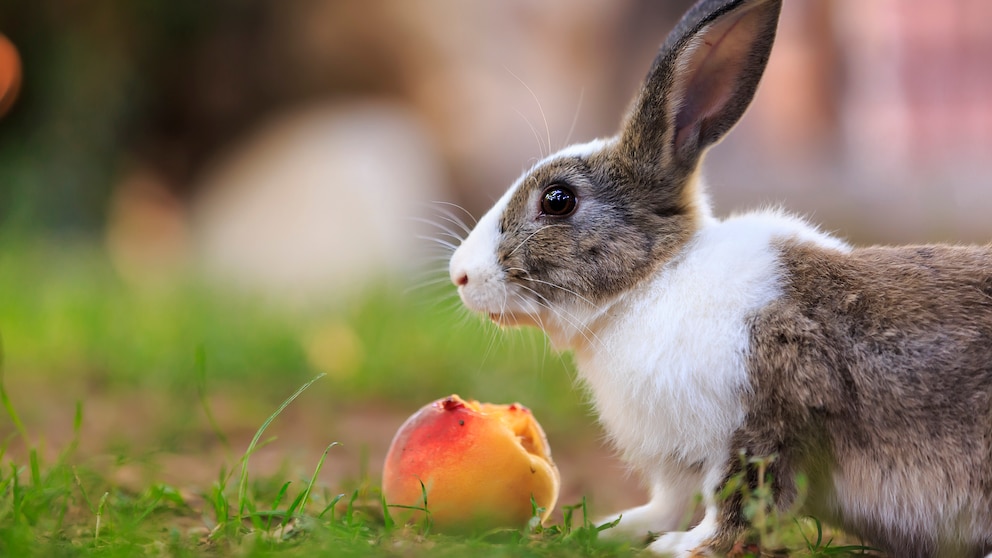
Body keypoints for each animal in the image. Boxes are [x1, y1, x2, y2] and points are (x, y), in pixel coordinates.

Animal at [448, 0, 992, 556]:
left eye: (558, 200)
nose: (460, 275)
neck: (651, 282)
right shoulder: (677, 460)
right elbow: (667, 502)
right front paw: (614, 528)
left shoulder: (757, 427)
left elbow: (738, 503)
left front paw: (679, 547)